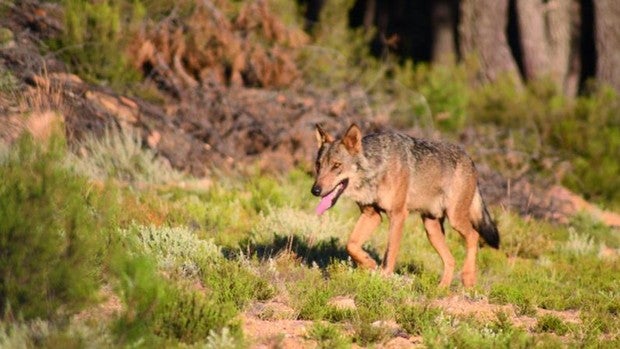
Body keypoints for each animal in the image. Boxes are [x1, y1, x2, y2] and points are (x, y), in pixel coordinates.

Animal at [310, 123, 498, 286]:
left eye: (336, 165)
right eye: (318, 165)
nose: (315, 190)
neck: (377, 168)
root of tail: (470, 159)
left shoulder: (398, 215)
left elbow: (389, 254)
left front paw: (383, 280)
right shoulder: (372, 215)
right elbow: (351, 245)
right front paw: (369, 264)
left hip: (455, 219)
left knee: (474, 236)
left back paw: (468, 278)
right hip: (431, 229)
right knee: (451, 259)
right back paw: (441, 289)